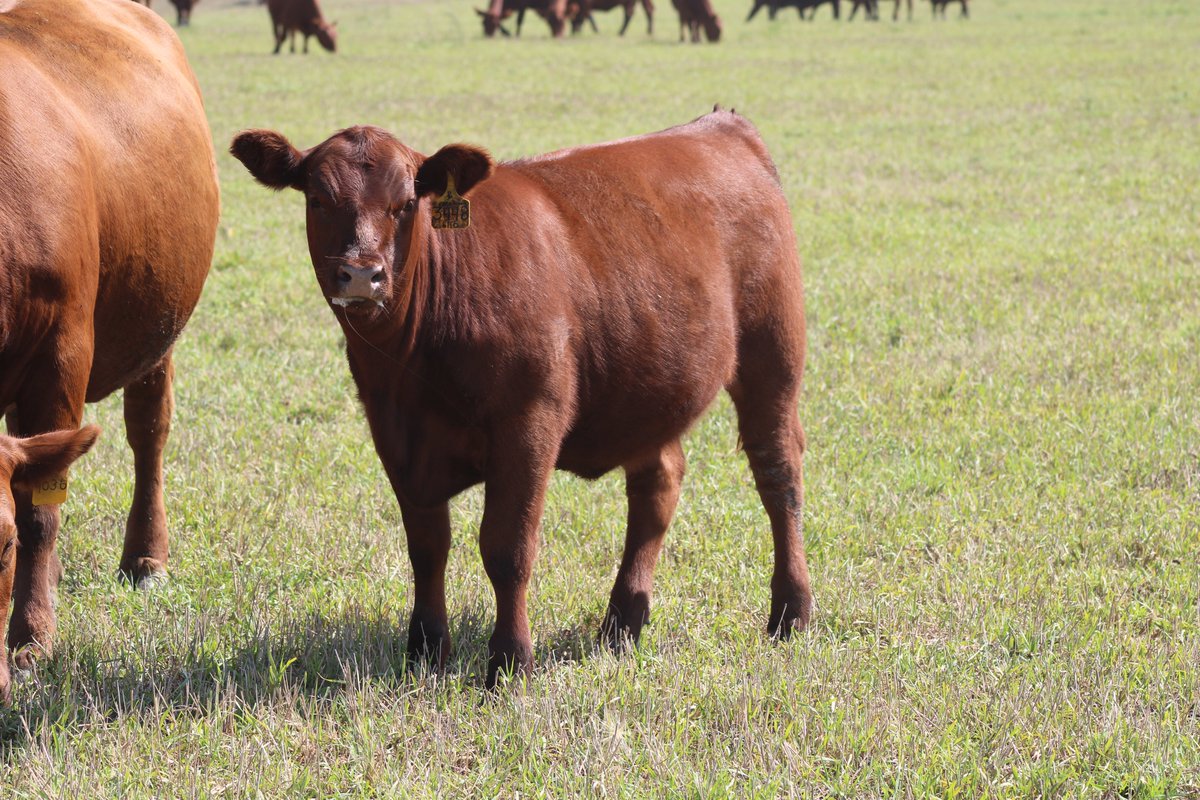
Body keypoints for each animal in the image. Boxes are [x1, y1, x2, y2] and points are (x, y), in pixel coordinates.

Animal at [0, 0, 219, 704]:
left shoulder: (61, 353)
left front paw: (33, 636)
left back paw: (145, 558)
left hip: (160, 329)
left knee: (148, 432)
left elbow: (39, 511)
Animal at [230, 108, 810, 688]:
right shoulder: (395, 435)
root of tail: (721, 125)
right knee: (658, 486)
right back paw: (622, 624)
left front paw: (510, 662)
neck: (413, 361)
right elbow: (427, 547)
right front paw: (424, 651)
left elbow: (506, 548)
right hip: (649, 388)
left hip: (772, 361)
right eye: (317, 199)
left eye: (406, 203)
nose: (361, 274)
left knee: (778, 475)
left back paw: (792, 612)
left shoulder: (529, 424)